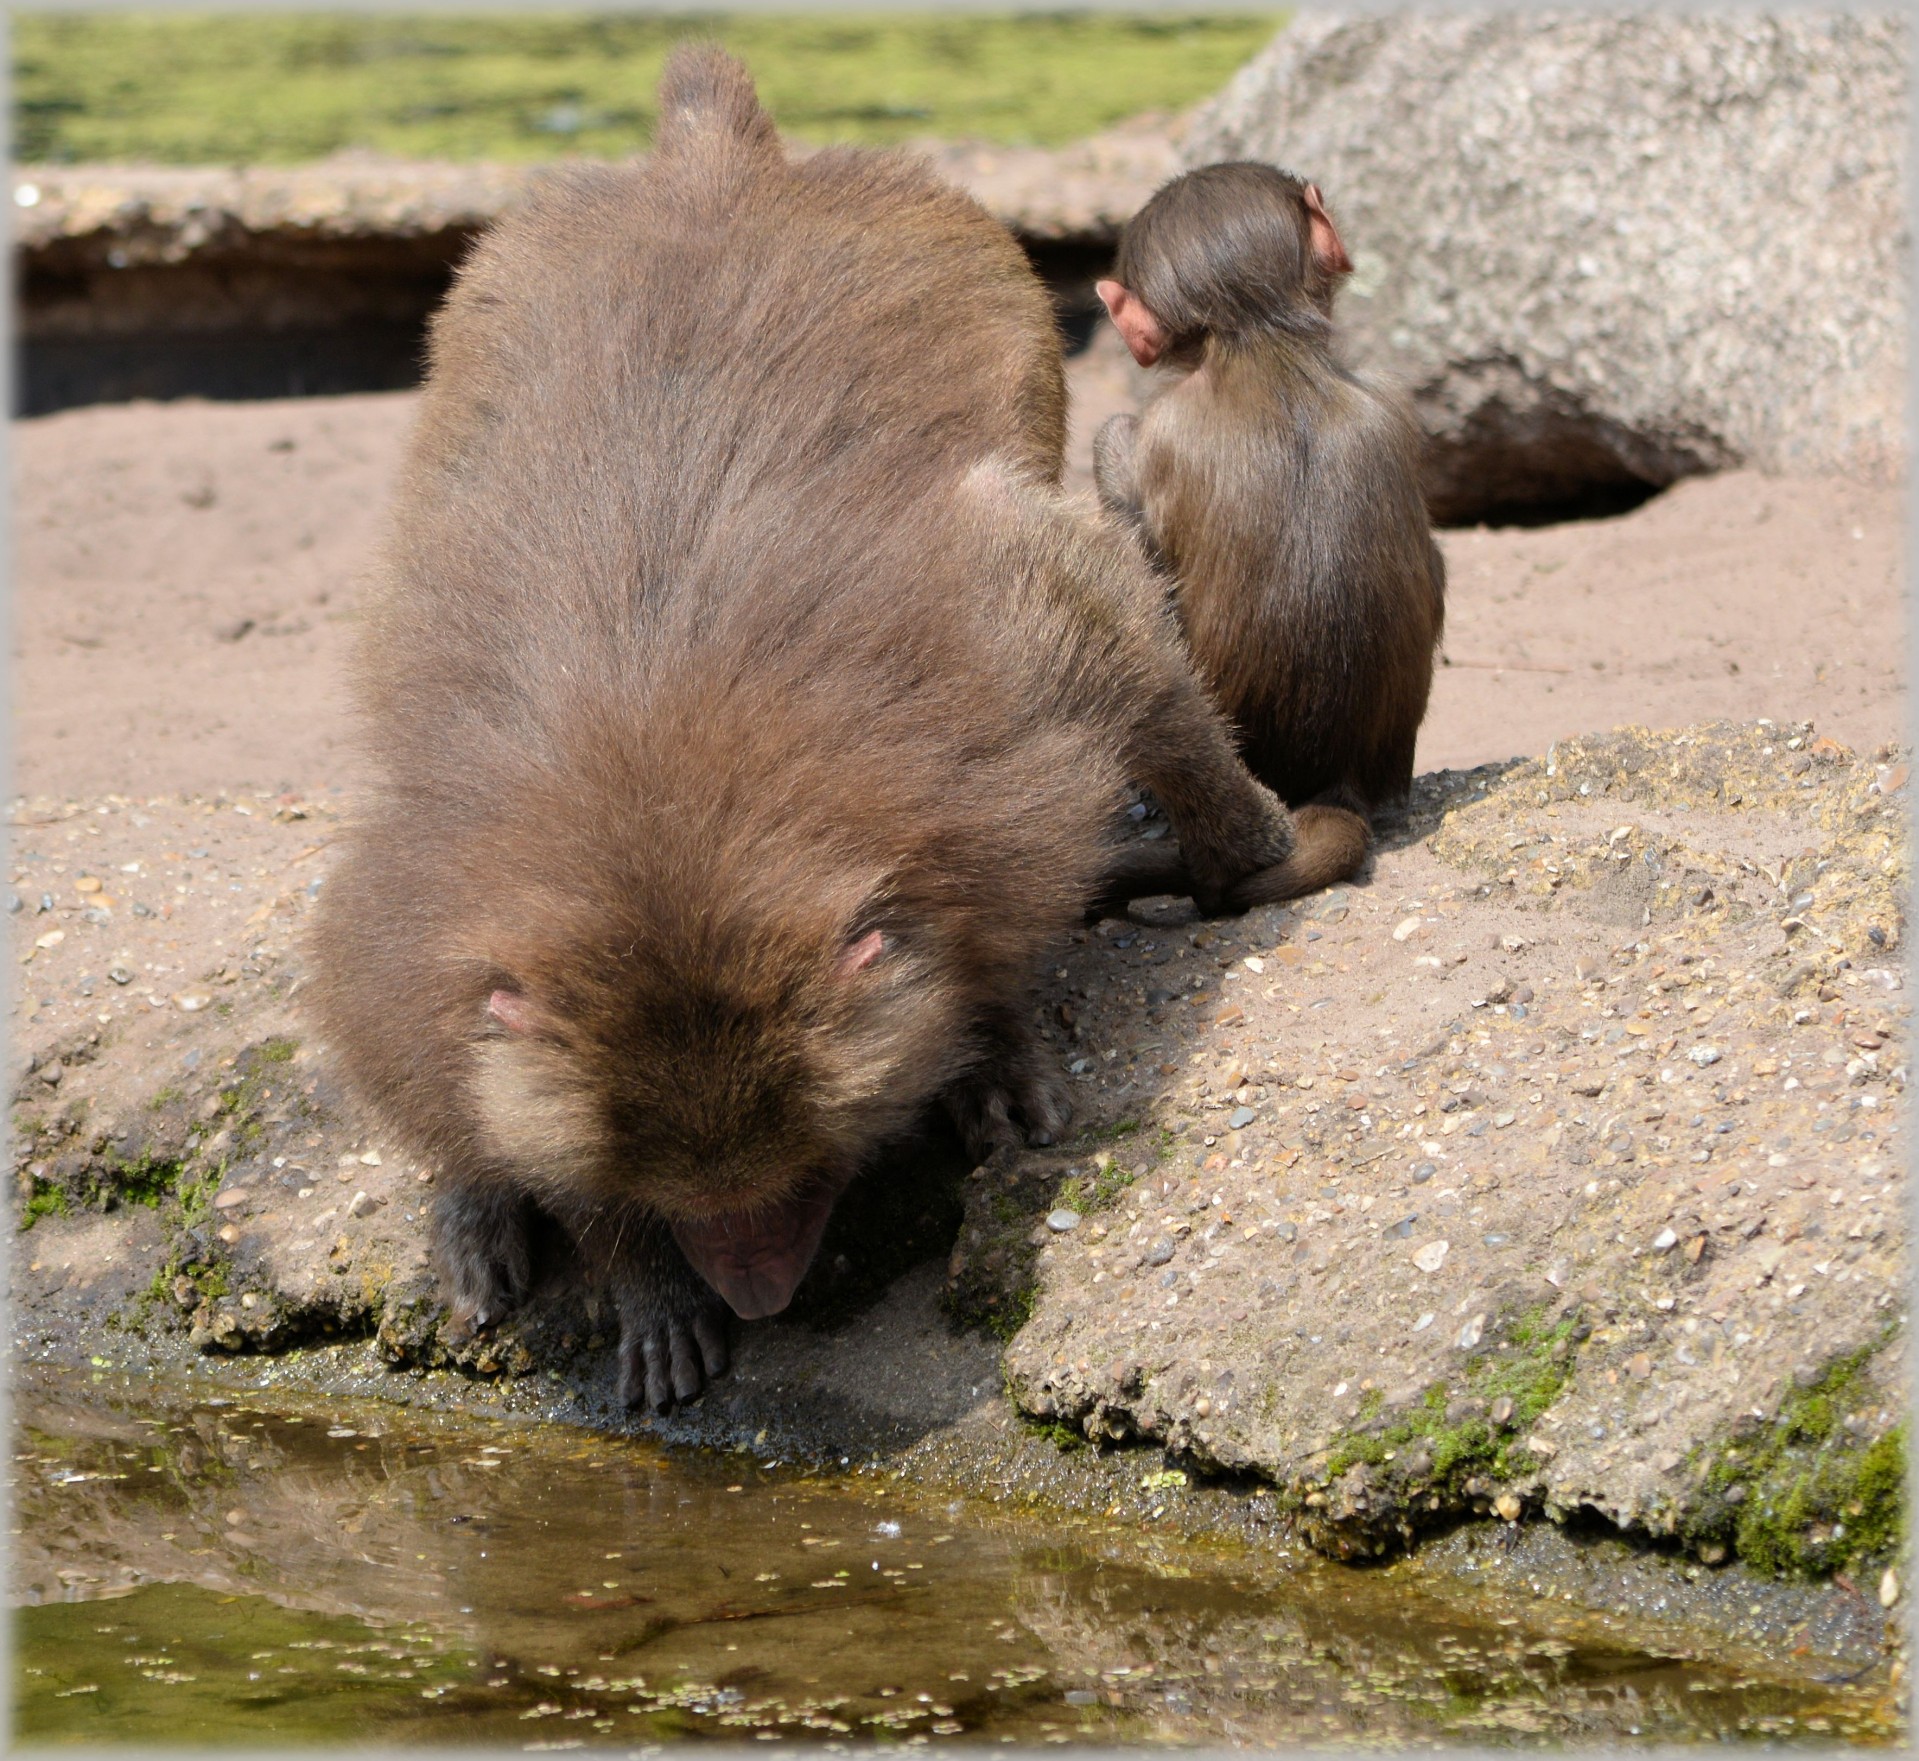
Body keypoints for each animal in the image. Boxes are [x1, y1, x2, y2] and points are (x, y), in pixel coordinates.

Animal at [310, 48, 1350, 1411]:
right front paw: (632, 1277)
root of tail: (716, 164)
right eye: (676, 1193)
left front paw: (1003, 1038)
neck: (665, 803)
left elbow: (1112, 657)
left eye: (802, 1171)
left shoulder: (1008, 652)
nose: (759, 1291)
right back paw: (476, 1216)